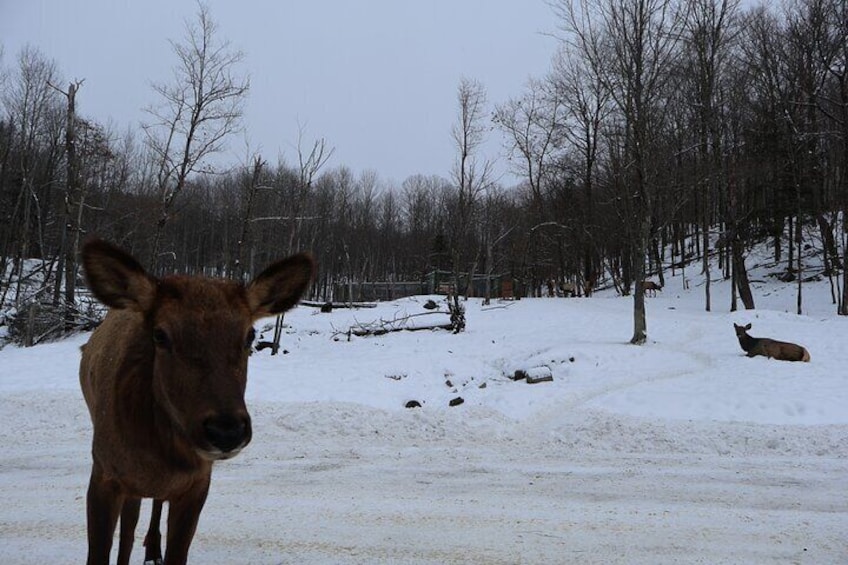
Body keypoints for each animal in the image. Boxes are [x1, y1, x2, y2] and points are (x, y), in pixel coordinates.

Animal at [78, 239, 314, 564]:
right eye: (160, 335)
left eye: (250, 335)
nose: (226, 430)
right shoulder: (104, 472)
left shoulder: (198, 482)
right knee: (131, 522)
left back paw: (153, 548)